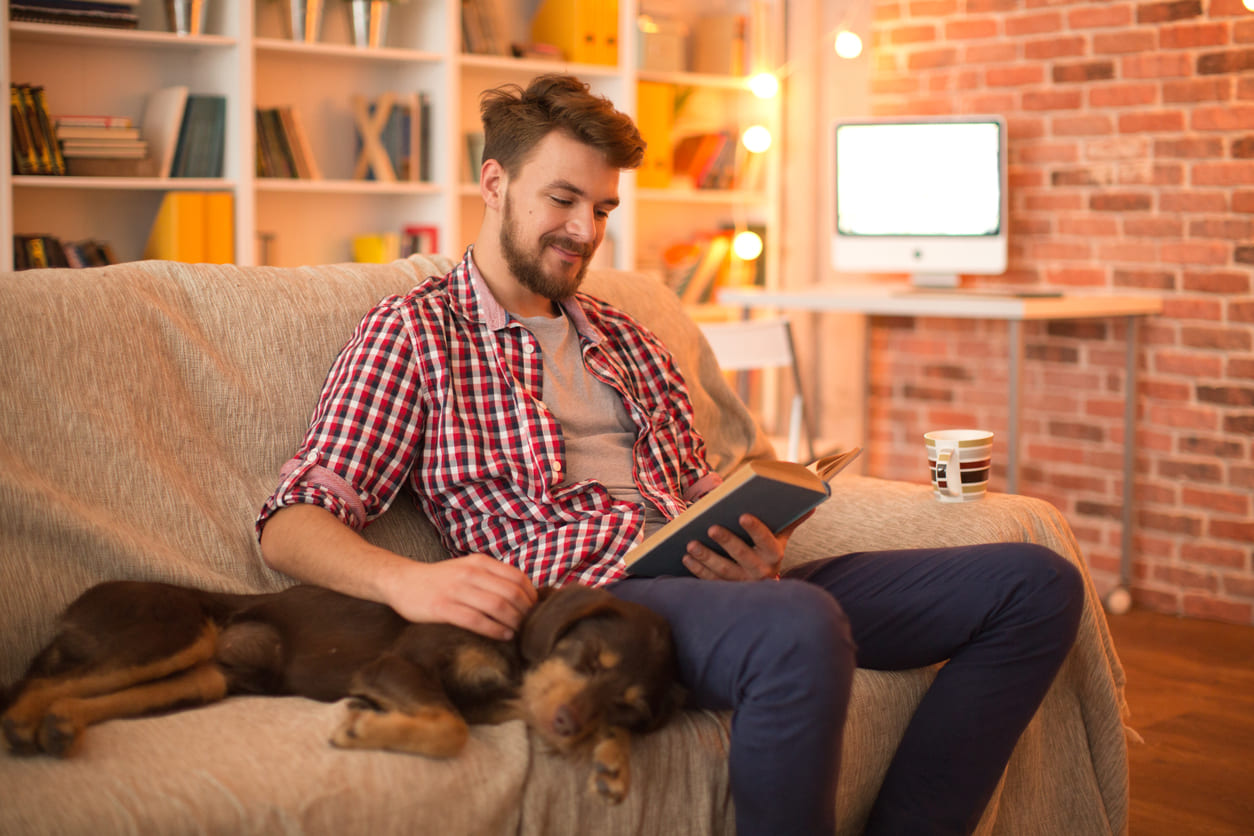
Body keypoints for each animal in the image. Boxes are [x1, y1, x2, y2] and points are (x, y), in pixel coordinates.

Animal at [2, 581, 687, 802]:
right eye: (586, 657)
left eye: (628, 703)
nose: (569, 726)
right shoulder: (395, 667)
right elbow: (448, 730)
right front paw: (363, 727)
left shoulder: (502, 701)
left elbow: (468, 716)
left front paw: (612, 763)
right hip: (169, 633)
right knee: (35, 683)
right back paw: (24, 724)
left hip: (198, 679)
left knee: (75, 696)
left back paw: (59, 727)